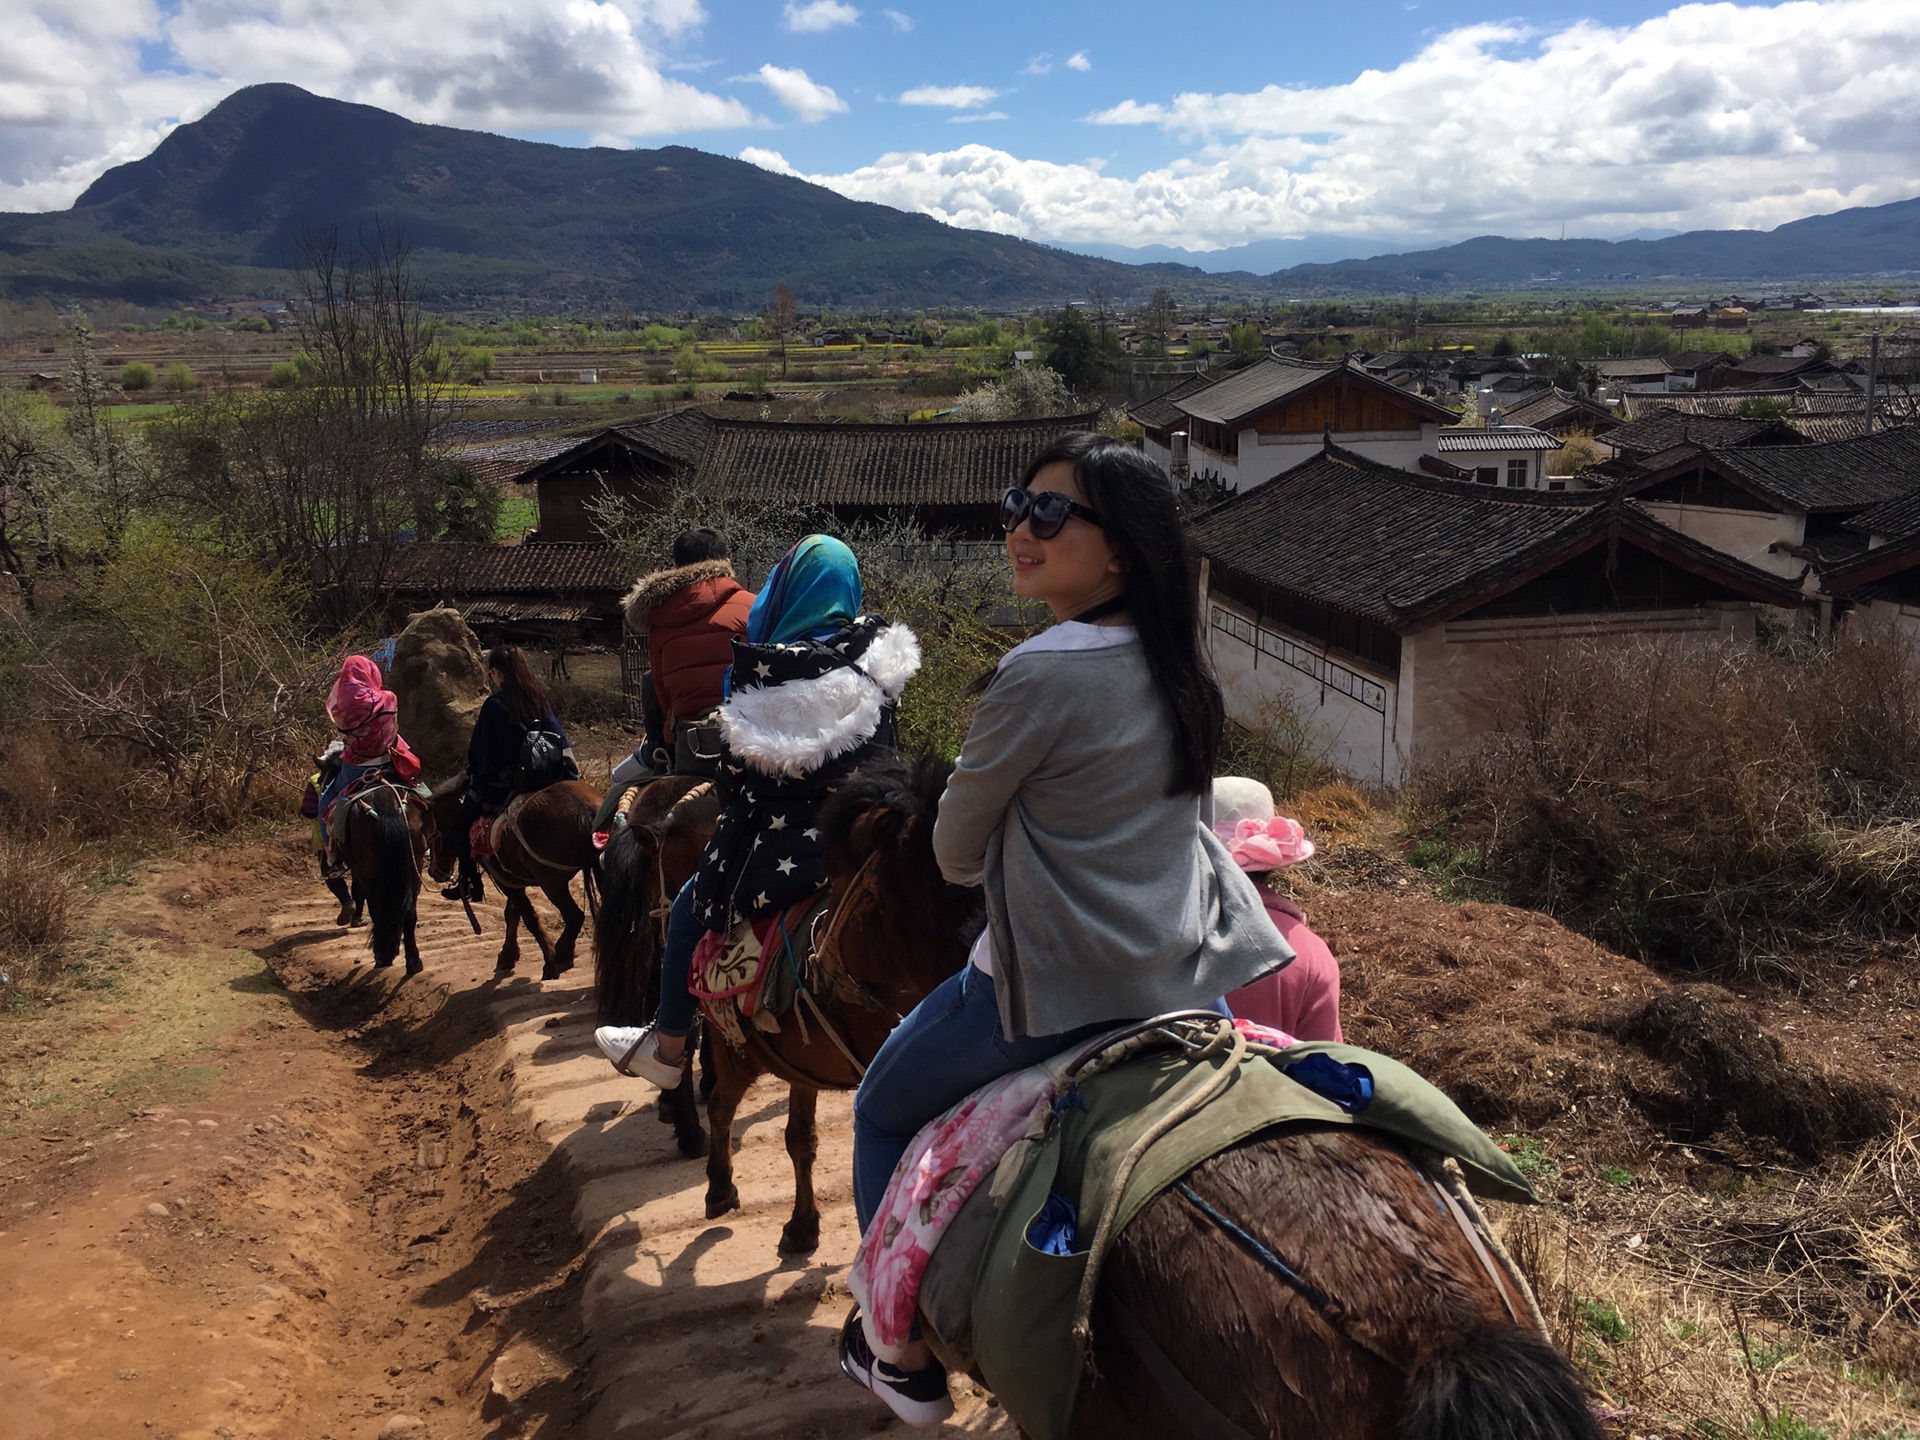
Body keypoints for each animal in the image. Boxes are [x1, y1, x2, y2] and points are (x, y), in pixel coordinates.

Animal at [336, 783, 430, 975]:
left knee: (377, 908)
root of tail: (387, 804)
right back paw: (413, 961)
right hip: (415, 866)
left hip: (369, 873)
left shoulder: (358, 870)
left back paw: (383, 955)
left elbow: (358, 892)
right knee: (409, 912)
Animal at [430, 771, 602, 990]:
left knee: (574, 916)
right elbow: (512, 914)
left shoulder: (505, 881)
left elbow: (528, 918)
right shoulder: (512, 879)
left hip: (551, 883)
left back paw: (561, 955)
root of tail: (582, 809)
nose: (434, 871)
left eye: (437, 831)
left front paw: (550, 963)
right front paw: (508, 955)